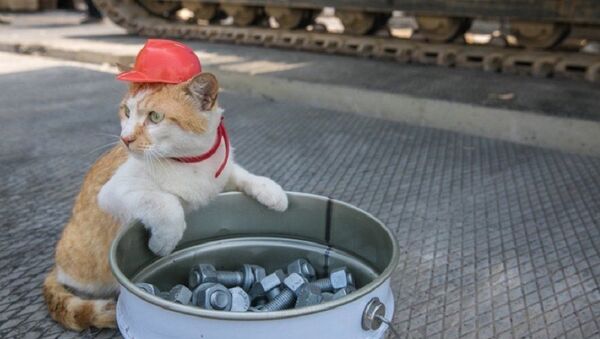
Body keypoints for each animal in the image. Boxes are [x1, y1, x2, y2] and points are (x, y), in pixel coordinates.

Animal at [44, 72, 288, 332]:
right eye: (126, 112)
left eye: (155, 117)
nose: (125, 139)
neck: (190, 164)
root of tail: (57, 266)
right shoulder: (113, 191)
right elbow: (166, 203)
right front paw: (163, 242)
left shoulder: (220, 176)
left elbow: (240, 173)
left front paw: (271, 190)